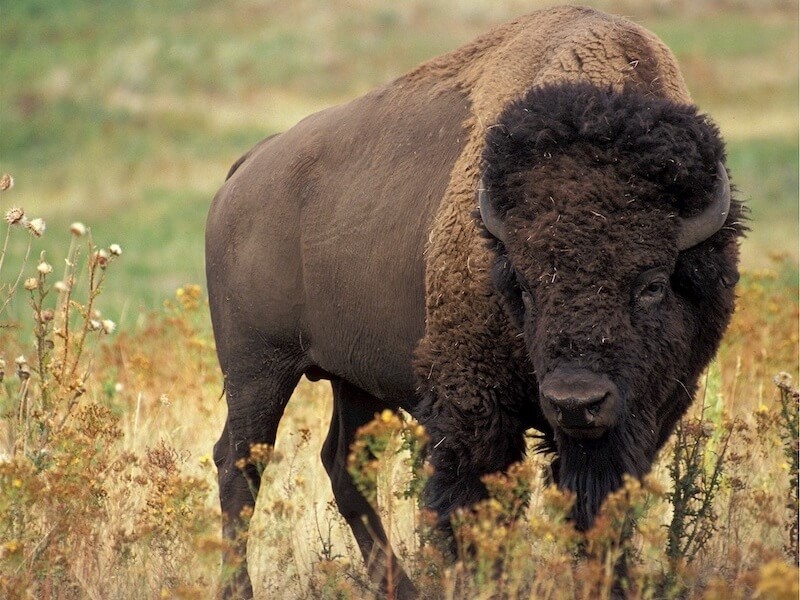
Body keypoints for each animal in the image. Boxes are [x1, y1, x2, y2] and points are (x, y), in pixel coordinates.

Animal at [205, 5, 744, 600]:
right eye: (524, 285)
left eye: (652, 284)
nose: (576, 401)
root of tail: (247, 168)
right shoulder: (473, 405)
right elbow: (472, 506)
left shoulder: (645, 413)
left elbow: (600, 506)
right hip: (258, 368)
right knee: (240, 464)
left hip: (353, 379)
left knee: (342, 465)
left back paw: (402, 587)